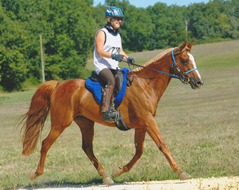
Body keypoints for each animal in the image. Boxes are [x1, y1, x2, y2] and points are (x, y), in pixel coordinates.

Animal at [19, 40, 204, 184]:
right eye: (185, 60)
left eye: (193, 59)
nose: (199, 82)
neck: (146, 84)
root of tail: (59, 84)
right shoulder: (148, 121)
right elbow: (162, 145)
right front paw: (180, 171)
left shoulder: (142, 125)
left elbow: (139, 151)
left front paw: (119, 171)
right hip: (60, 123)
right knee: (45, 144)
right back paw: (35, 174)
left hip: (86, 123)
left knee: (87, 148)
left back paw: (106, 176)